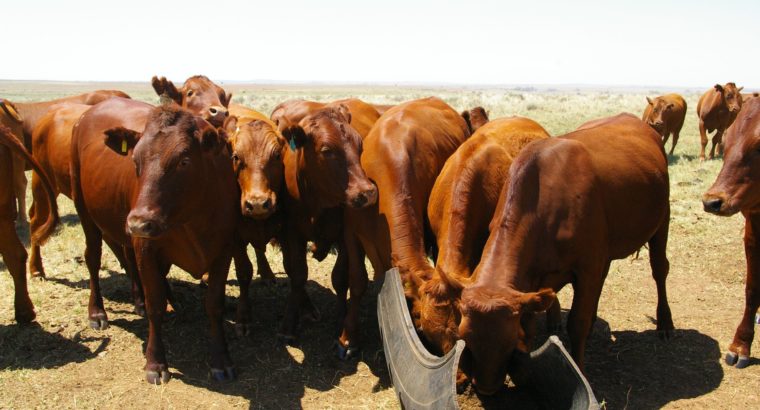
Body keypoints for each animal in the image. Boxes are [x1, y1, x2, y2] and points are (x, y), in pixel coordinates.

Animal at [70, 98, 238, 384]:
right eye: (135, 160)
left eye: (184, 160)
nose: (138, 222)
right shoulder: (147, 248)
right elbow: (155, 305)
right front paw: (156, 363)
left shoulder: (223, 251)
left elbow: (214, 304)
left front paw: (222, 360)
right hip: (85, 211)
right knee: (93, 258)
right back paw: (97, 312)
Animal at [450, 114, 671, 395]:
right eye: (464, 336)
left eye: (510, 341)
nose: (487, 388)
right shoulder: (533, 283)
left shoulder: (586, 266)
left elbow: (577, 323)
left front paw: (581, 371)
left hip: (662, 219)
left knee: (659, 269)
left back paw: (665, 323)